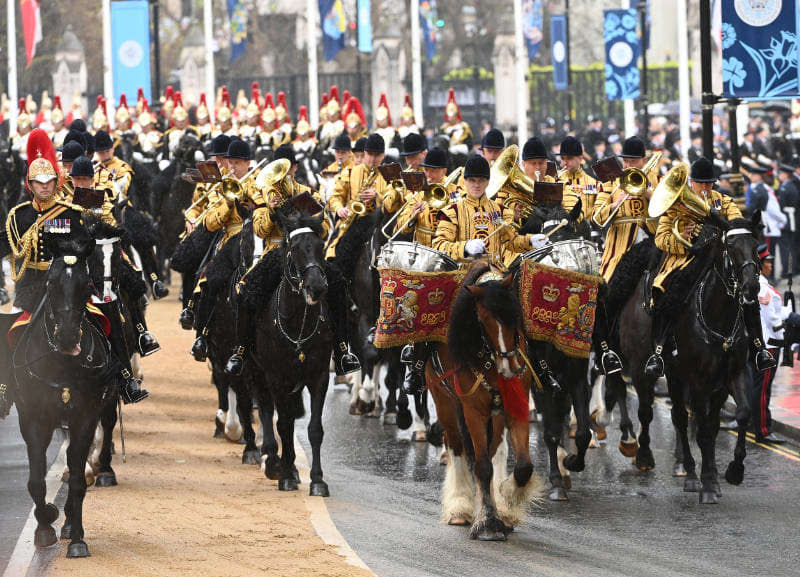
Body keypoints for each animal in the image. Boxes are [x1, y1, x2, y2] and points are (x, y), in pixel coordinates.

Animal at [5, 232, 119, 556]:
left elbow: (78, 478)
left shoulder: (84, 417)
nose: (68, 337)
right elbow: (36, 481)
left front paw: (77, 537)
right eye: (51, 283)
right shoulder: (33, 420)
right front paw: (45, 525)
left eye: (87, 284)